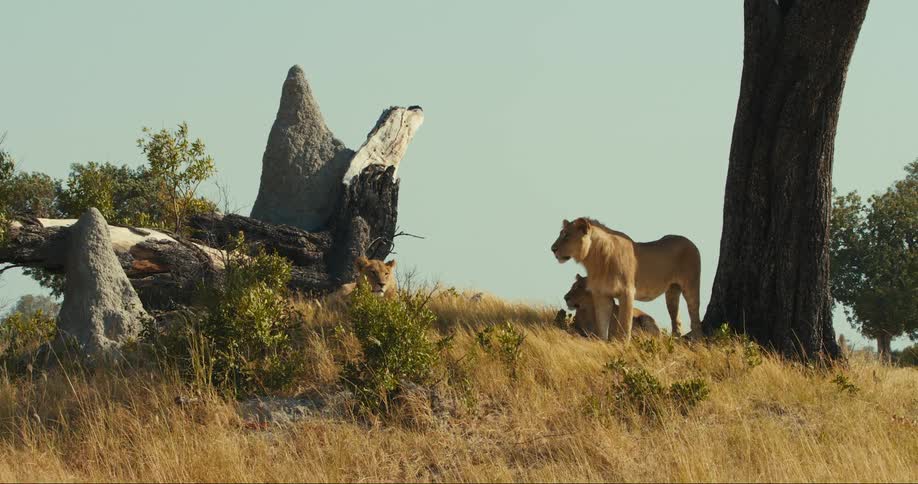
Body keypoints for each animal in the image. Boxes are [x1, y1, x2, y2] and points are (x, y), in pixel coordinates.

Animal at [551, 217, 701, 342]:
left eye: (567, 235)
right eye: (561, 233)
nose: (553, 249)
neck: (595, 260)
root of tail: (690, 241)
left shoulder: (627, 292)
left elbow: (625, 325)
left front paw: (623, 345)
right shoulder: (601, 295)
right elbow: (602, 326)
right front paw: (601, 342)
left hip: (691, 286)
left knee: (695, 316)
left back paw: (696, 341)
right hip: (672, 292)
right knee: (676, 319)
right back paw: (674, 340)